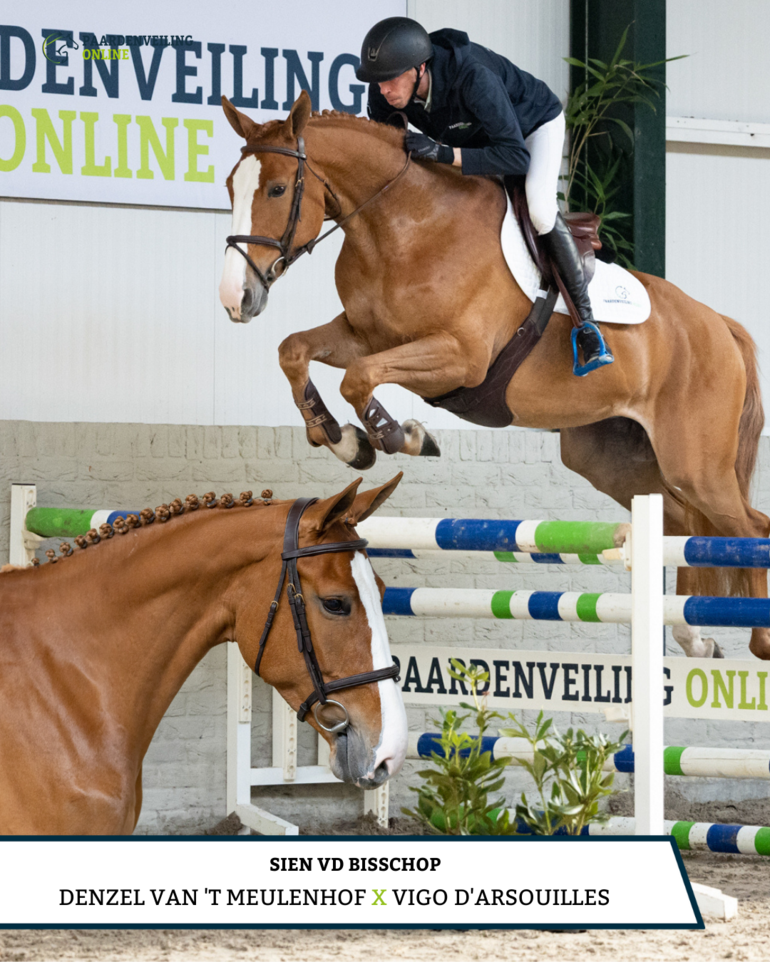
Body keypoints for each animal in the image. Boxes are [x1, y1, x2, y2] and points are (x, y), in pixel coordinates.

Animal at [218, 90, 768, 660]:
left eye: (278, 188)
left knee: (749, 526)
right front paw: (340, 438)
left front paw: (401, 436)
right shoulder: (361, 336)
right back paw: (694, 638)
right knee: (682, 524)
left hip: (694, 461)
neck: (401, 227)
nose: (236, 297)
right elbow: (294, 351)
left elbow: (358, 379)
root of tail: (719, 325)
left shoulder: (459, 358)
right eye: (231, 186)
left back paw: (758, 638)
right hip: (613, 458)